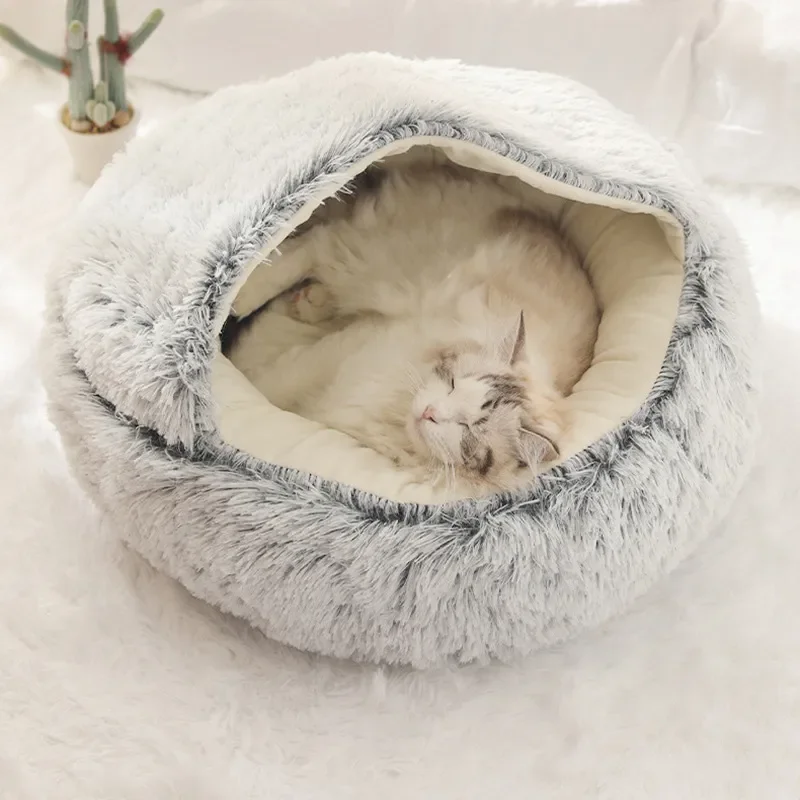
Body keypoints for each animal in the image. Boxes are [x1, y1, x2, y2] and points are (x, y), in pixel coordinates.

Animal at [226, 161, 599, 496]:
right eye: (452, 383)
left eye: (468, 428)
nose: (430, 412)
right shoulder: (345, 353)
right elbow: (270, 383)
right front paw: (232, 381)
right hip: (372, 260)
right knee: (314, 244)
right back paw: (242, 296)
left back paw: (307, 302)